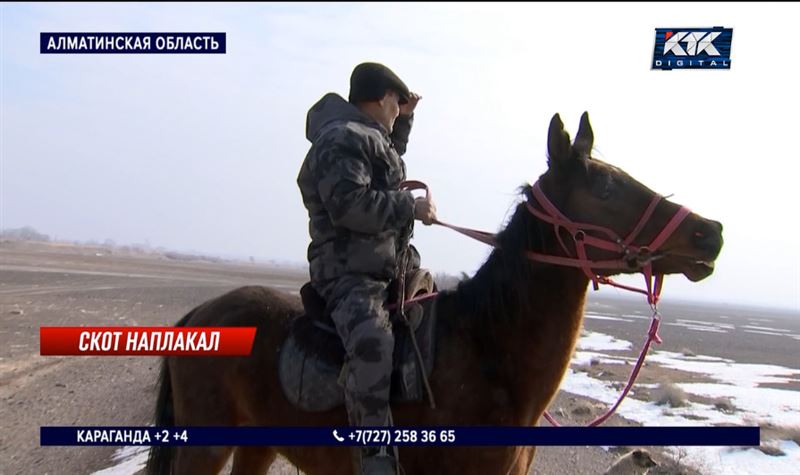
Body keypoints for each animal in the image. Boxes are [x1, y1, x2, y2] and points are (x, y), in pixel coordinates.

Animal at [145, 112, 724, 475]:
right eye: (606, 187)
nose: (710, 232)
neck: (491, 357)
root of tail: (196, 317)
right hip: (206, 448)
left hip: (256, 446)